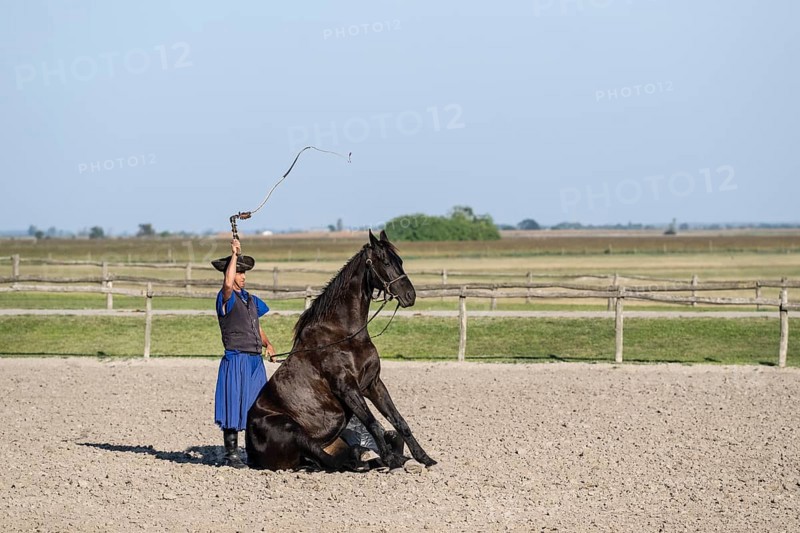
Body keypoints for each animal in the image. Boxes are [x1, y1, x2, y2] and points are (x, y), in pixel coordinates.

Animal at [245, 229, 437, 471]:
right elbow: (373, 423)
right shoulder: (347, 388)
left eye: (400, 261)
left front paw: (424, 458)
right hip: (292, 429)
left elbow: (399, 421)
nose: (410, 296)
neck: (343, 334)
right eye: (385, 262)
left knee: (338, 457)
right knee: (330, 459)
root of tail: (251, 454)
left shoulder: (373, 383)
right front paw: (391, 460)